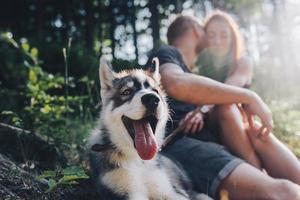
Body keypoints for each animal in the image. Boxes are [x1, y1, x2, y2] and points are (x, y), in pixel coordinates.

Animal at [88, 56, 211, 200]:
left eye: (155, 91)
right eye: (127, 92)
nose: (152, 99)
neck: (138, 162)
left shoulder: (172, 192)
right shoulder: (127, 193)